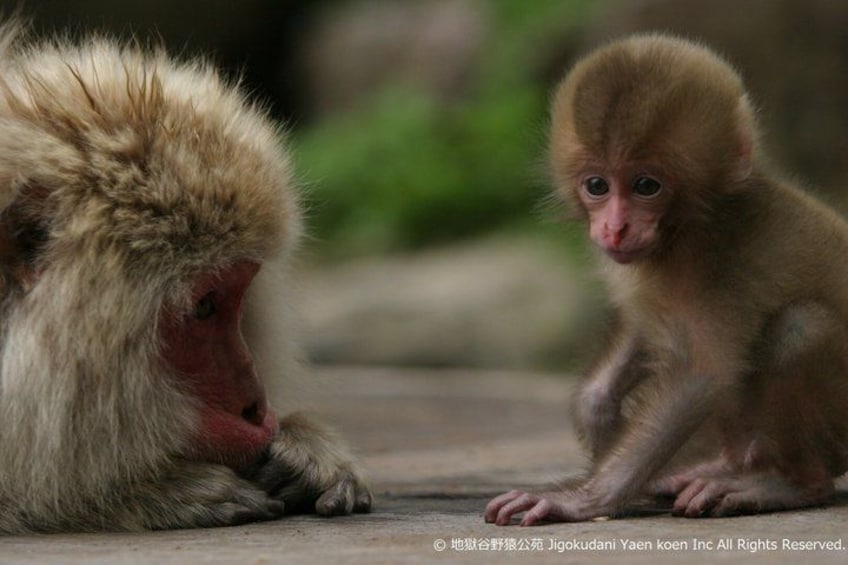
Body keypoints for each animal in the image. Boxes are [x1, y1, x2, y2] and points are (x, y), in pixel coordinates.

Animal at [485, 33, 848, 526]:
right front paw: (600, 418)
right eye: (597, 185)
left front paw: (583, 500)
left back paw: (791, 484)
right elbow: (637, 339)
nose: (615, 228)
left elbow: (700, 374)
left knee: (801, 328)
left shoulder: (716, 259)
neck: (686, 229)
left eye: (646, 186)